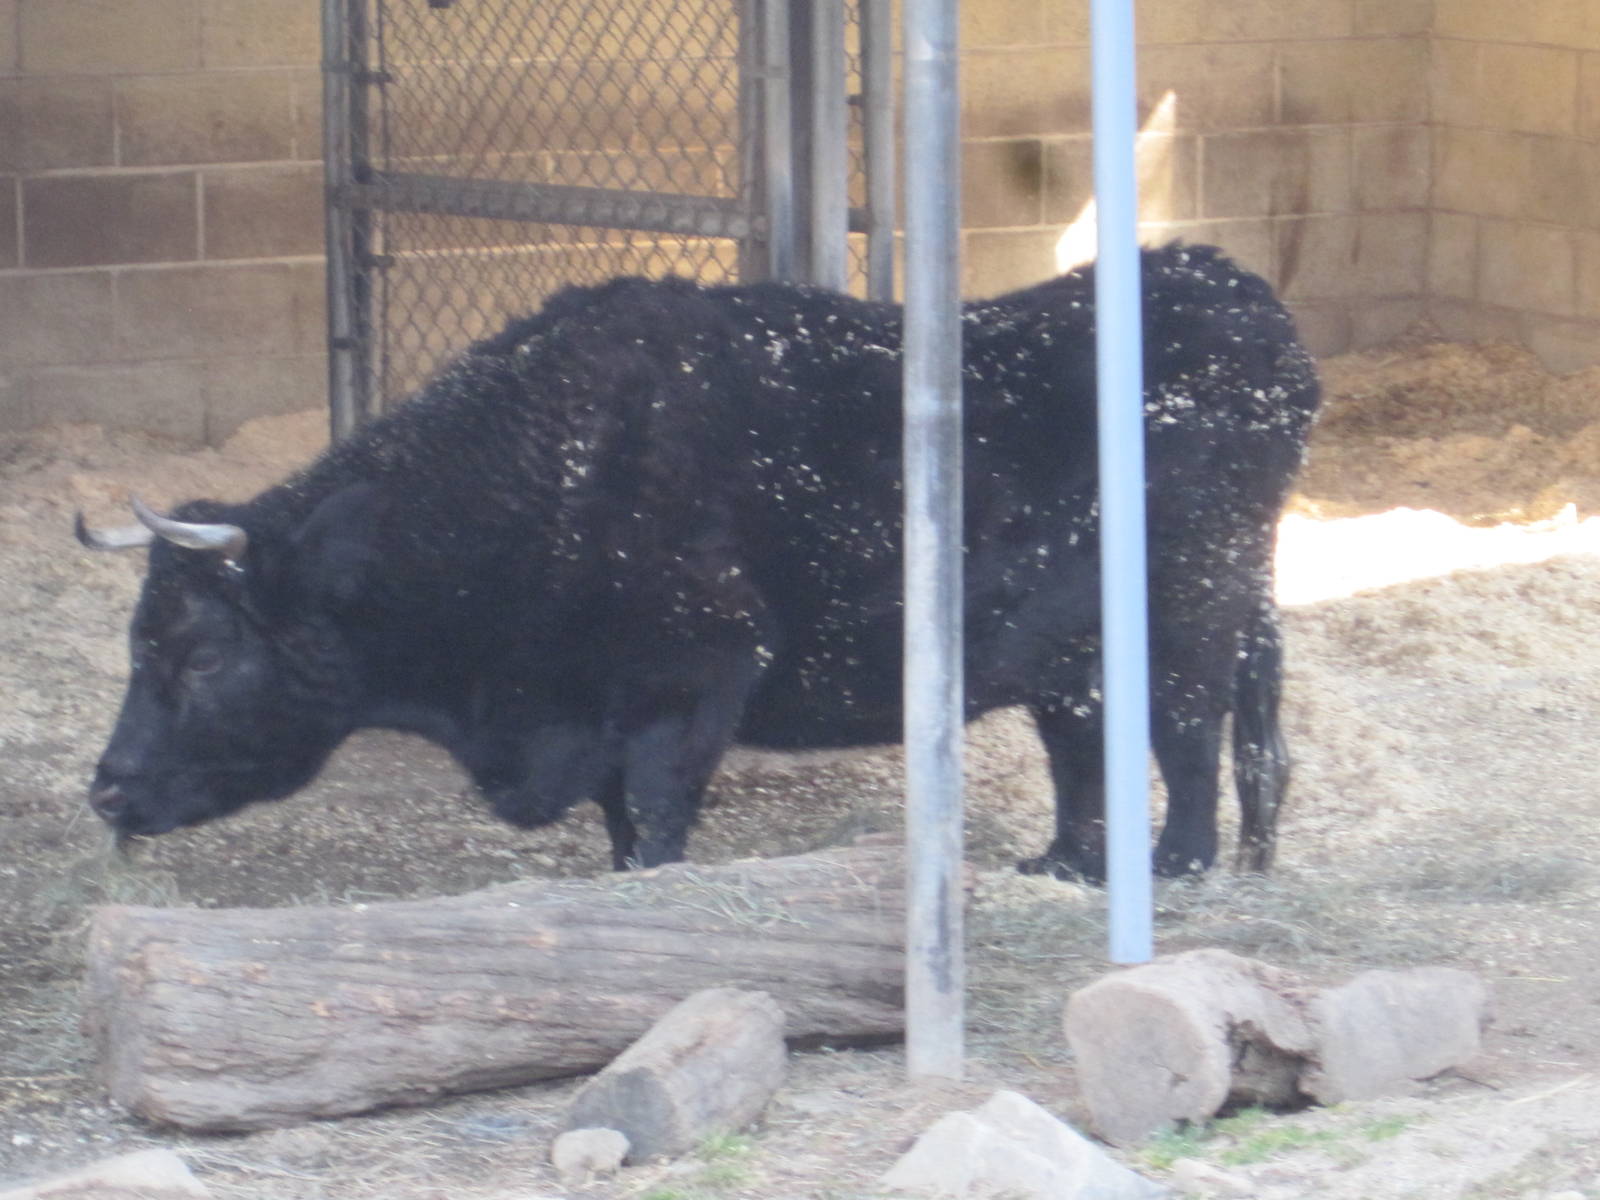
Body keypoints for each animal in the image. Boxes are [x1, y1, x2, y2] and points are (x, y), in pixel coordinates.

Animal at [76, 243, 1320, 882]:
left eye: (196, 656)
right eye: (139, 643)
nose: (107, 789)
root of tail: (1226, 285)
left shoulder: (691, 686)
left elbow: (660, 825)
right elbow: (624, 827)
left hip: (1189, 620)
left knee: (1190, 739)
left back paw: (1177, 865)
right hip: (1085, 652)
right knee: (1113, 752)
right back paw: (1069, 865)